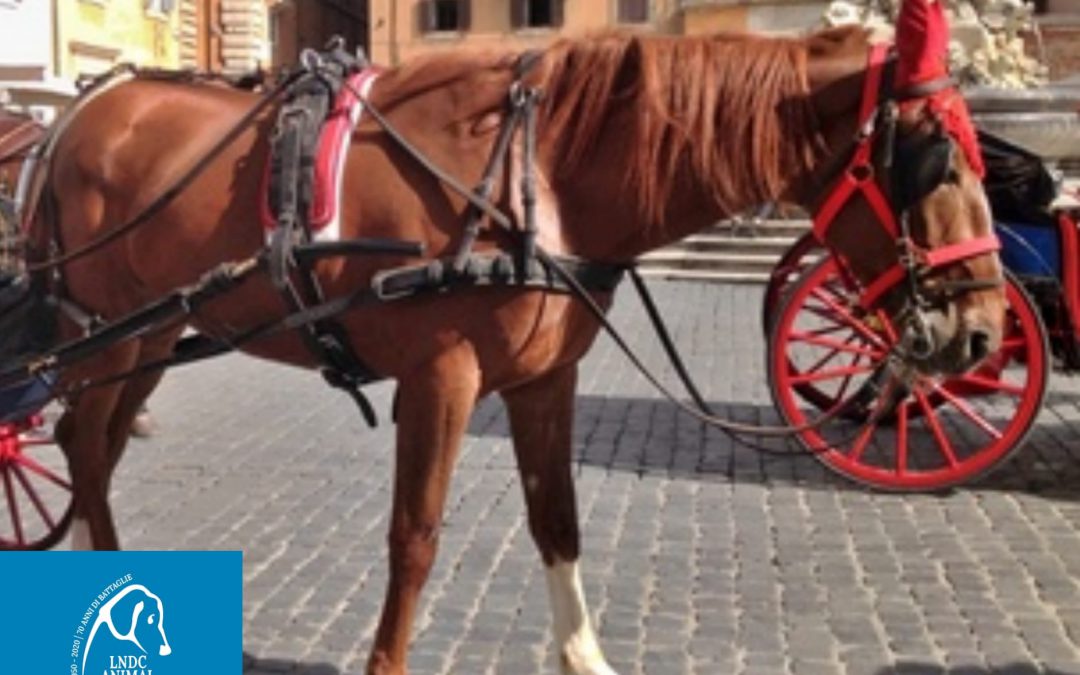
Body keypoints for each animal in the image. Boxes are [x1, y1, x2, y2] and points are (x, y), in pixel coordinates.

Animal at [7, 23, 1004, 674]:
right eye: (935, 163)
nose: (984, 330)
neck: (542, 171)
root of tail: (73, 118)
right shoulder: (440, 377)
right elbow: (414, 537)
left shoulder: (545, 381)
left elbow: (556, 519)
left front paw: (585, 654)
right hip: (102, 328)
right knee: (82, 441)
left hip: (150, 330)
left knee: (90, 444)